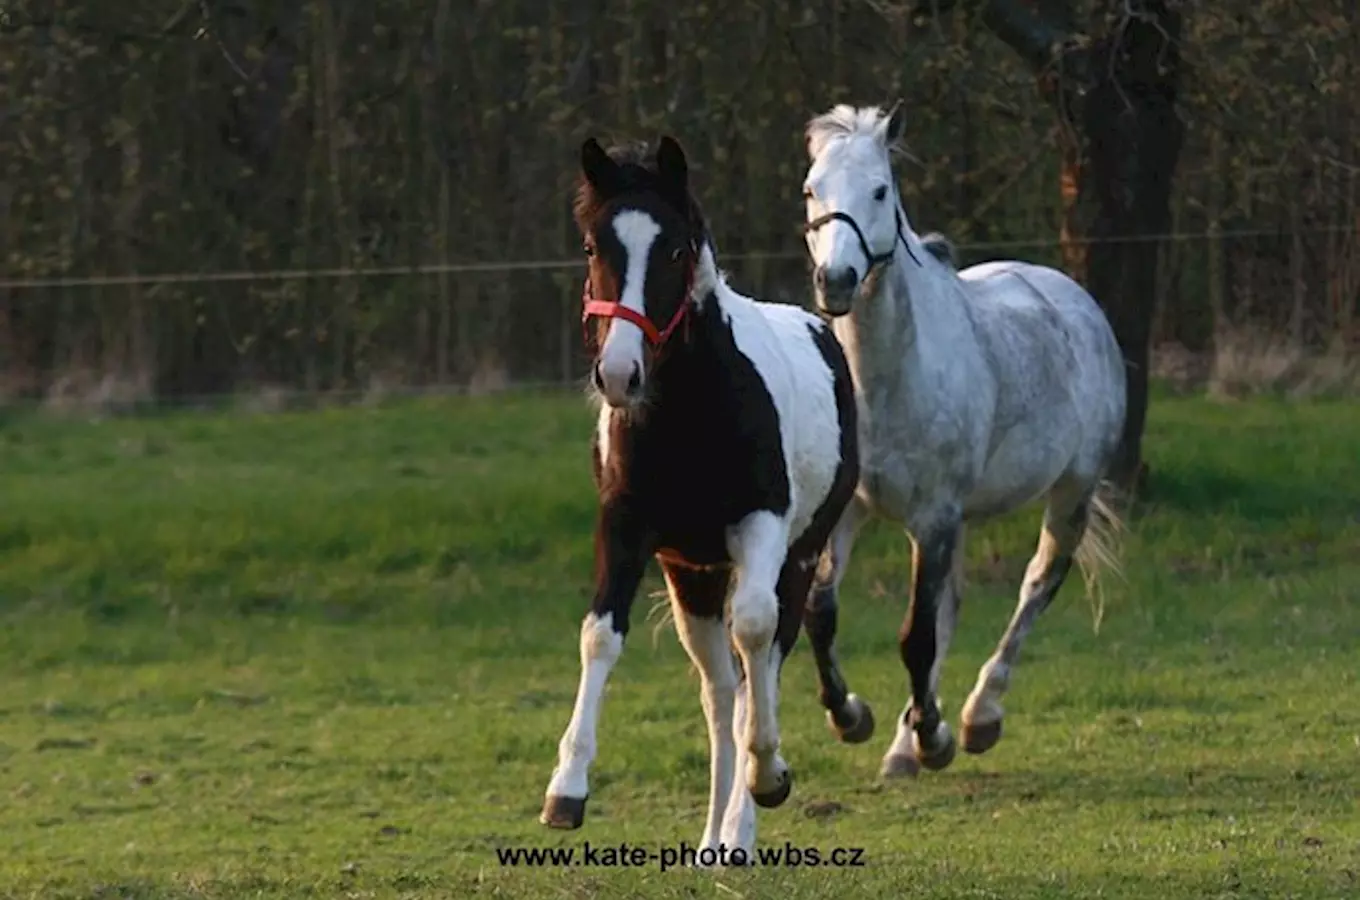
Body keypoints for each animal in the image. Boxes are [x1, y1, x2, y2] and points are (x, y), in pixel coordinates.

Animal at [535, 132, 854, 859]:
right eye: (593, 247)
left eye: (676, 250)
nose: (618, 374)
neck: (687, 415)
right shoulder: (627, 527)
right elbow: (600, 635)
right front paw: (566, 791)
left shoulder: (762, 524)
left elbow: (757, 633)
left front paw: (769, 778)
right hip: (693, 576)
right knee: (720, 690)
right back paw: (714, 838)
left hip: (798, 554)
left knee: (762, 662)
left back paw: (743, 823)